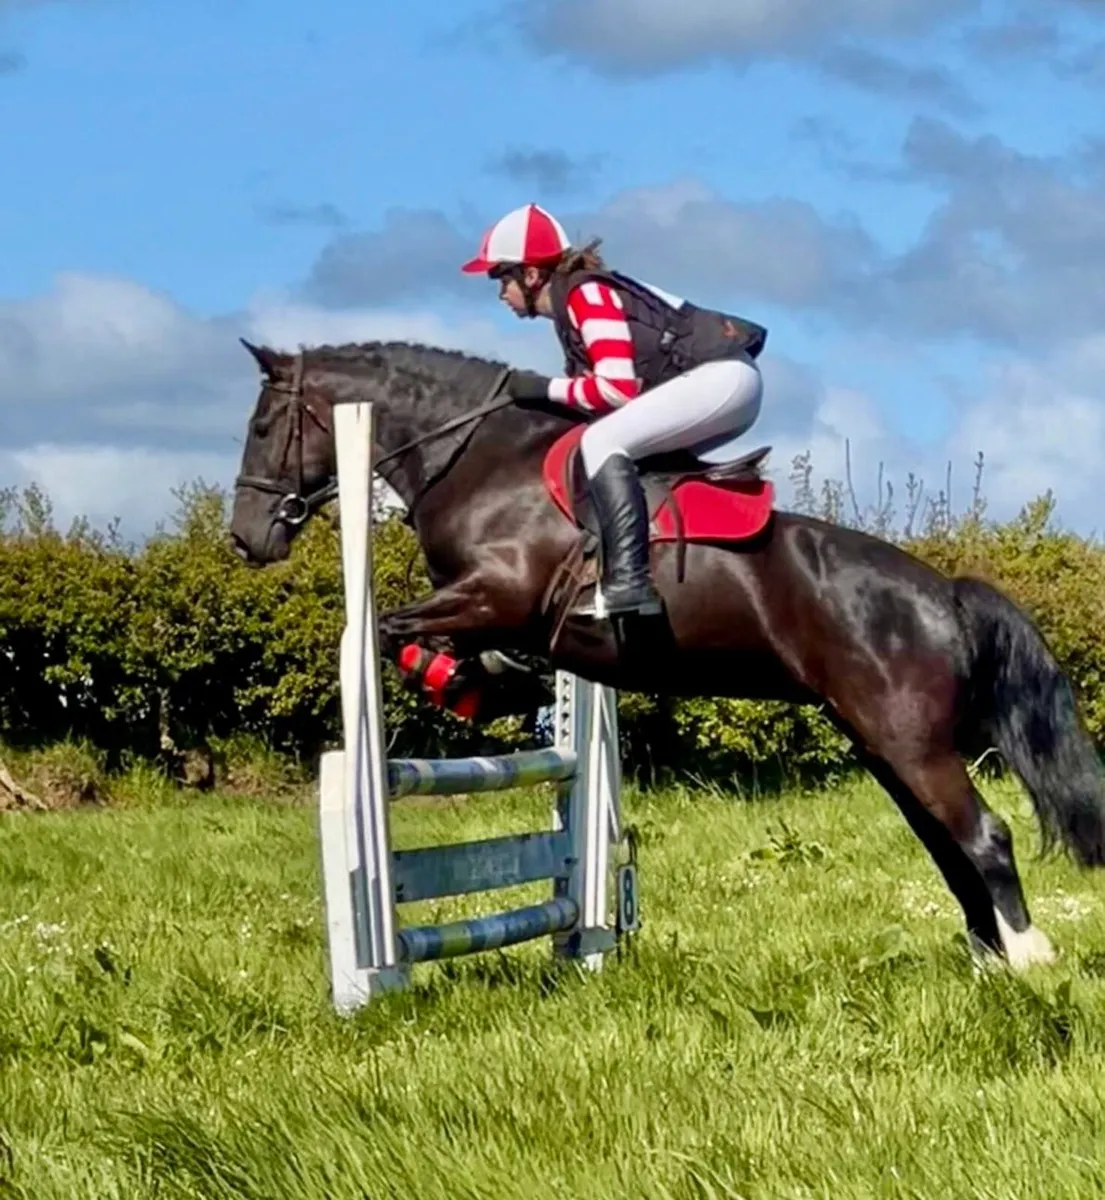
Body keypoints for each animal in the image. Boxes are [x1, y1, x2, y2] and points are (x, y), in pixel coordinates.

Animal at [227, 336, 1105, 971]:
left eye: (263, 428)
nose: (246, 538)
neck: (478, 457)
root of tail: (943, 594)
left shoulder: (496, 594)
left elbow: (381, 633)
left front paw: (468, 683)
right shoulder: (485, 609)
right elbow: (420, 640)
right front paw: (489, 683)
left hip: (907, 742)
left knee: (982, 835)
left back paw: (1030, 959)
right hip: (882, 744)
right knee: (948, 847)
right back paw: (987, 963)